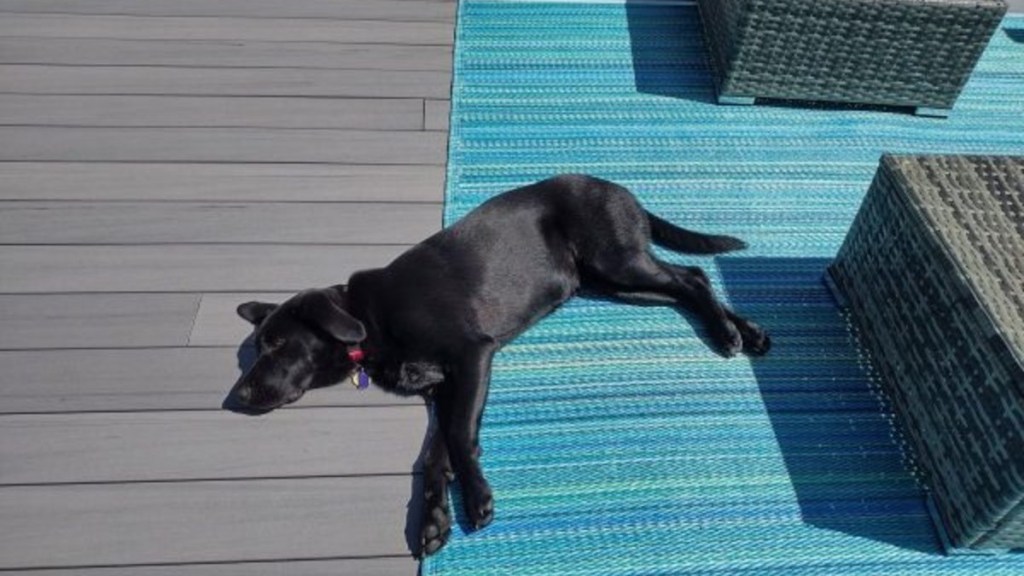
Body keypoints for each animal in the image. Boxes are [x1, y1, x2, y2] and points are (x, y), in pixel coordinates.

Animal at [230, 172, 770, 553]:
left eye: (277, 344)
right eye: (259, 347)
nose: (239, 396)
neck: (367, 315)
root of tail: (619, 190)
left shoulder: (472, 356)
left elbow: (459, 437)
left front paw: (475, 497)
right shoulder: (443, 387)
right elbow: (435, 453)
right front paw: (433, 519)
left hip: (616, 260)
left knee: (693, 277)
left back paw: (728, 333)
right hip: (611, 283)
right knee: (683, 287)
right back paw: (749, 332)